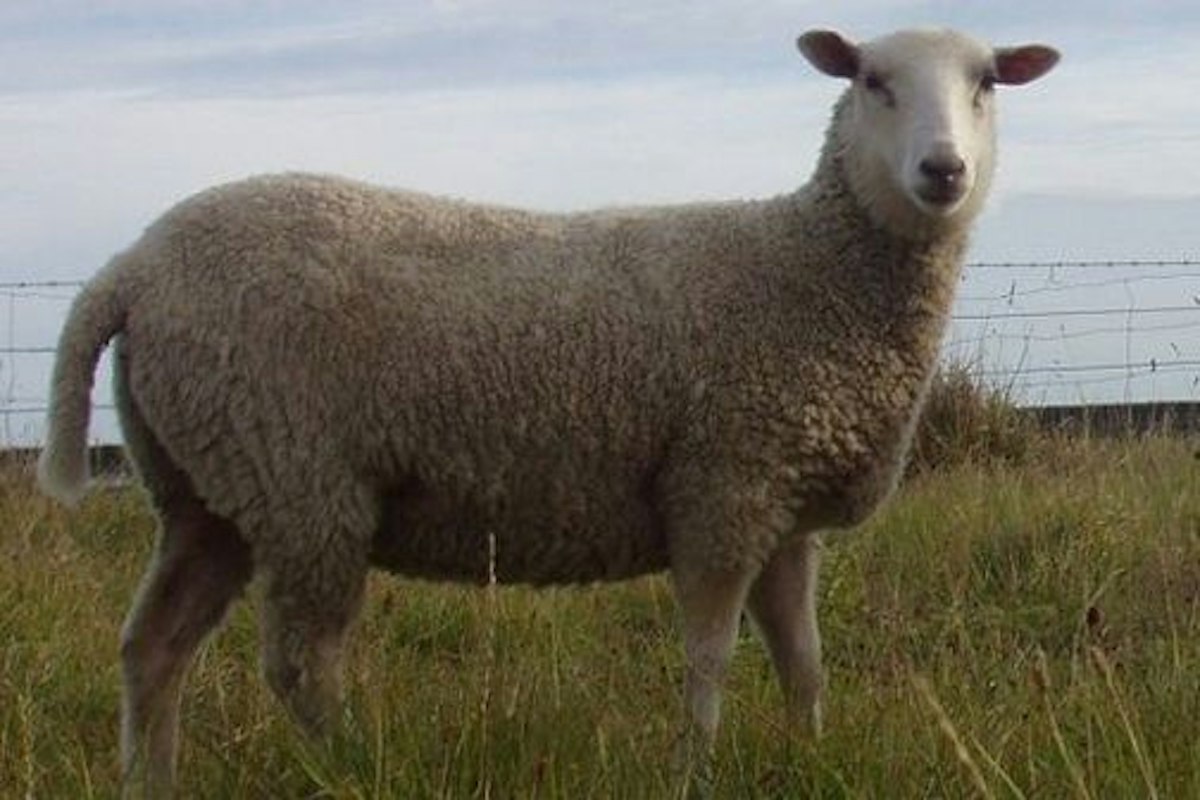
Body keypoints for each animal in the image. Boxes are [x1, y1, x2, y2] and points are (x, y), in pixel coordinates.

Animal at [38, 26, 1058, 796]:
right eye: (873, 82)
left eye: (985, 85)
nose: (943, 169)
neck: (813, 269)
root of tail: (130, 269)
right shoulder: (721, 491)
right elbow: (708, 657)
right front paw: (694, 770)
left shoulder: (782, 505)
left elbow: (802, 660)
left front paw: (809, 757)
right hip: (300, 480)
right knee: (299, 666)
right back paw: (356, 767)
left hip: (208, 482)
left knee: (153, 646)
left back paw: (150, 780)